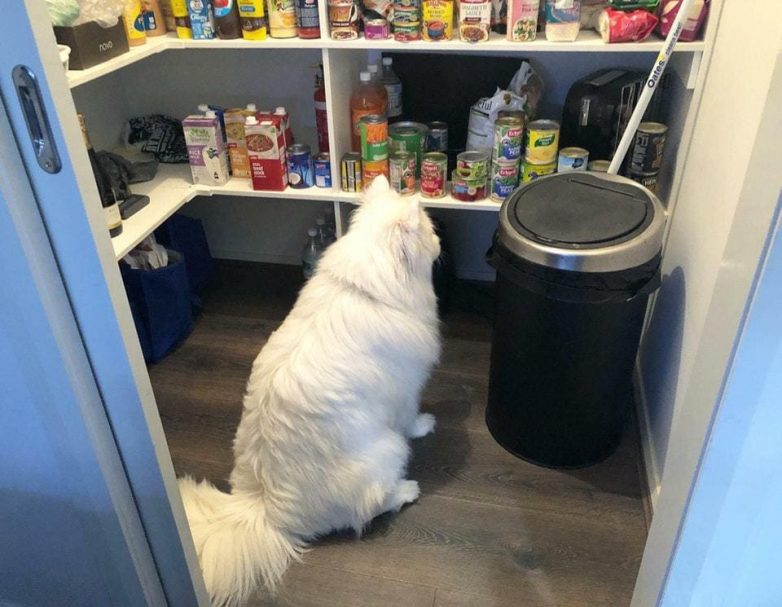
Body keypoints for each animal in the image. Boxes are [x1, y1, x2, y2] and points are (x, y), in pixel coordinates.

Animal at [179, 175, 442, 606]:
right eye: (431, 229)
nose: (440, 243)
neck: (363, 288)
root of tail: (264, 509)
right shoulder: (404, 390)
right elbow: (410, 417)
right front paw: (425, 425)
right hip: (389, 450)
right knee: (368, 509)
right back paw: (406, 491)